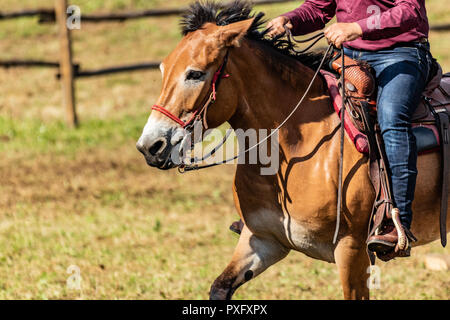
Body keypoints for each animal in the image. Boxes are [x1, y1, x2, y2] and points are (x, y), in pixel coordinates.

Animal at [135, 1, 448, 300]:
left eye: (195, 74)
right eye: (163, 69)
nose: (150, 146)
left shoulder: (352, 250)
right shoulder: (262, 239)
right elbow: (220, 287)